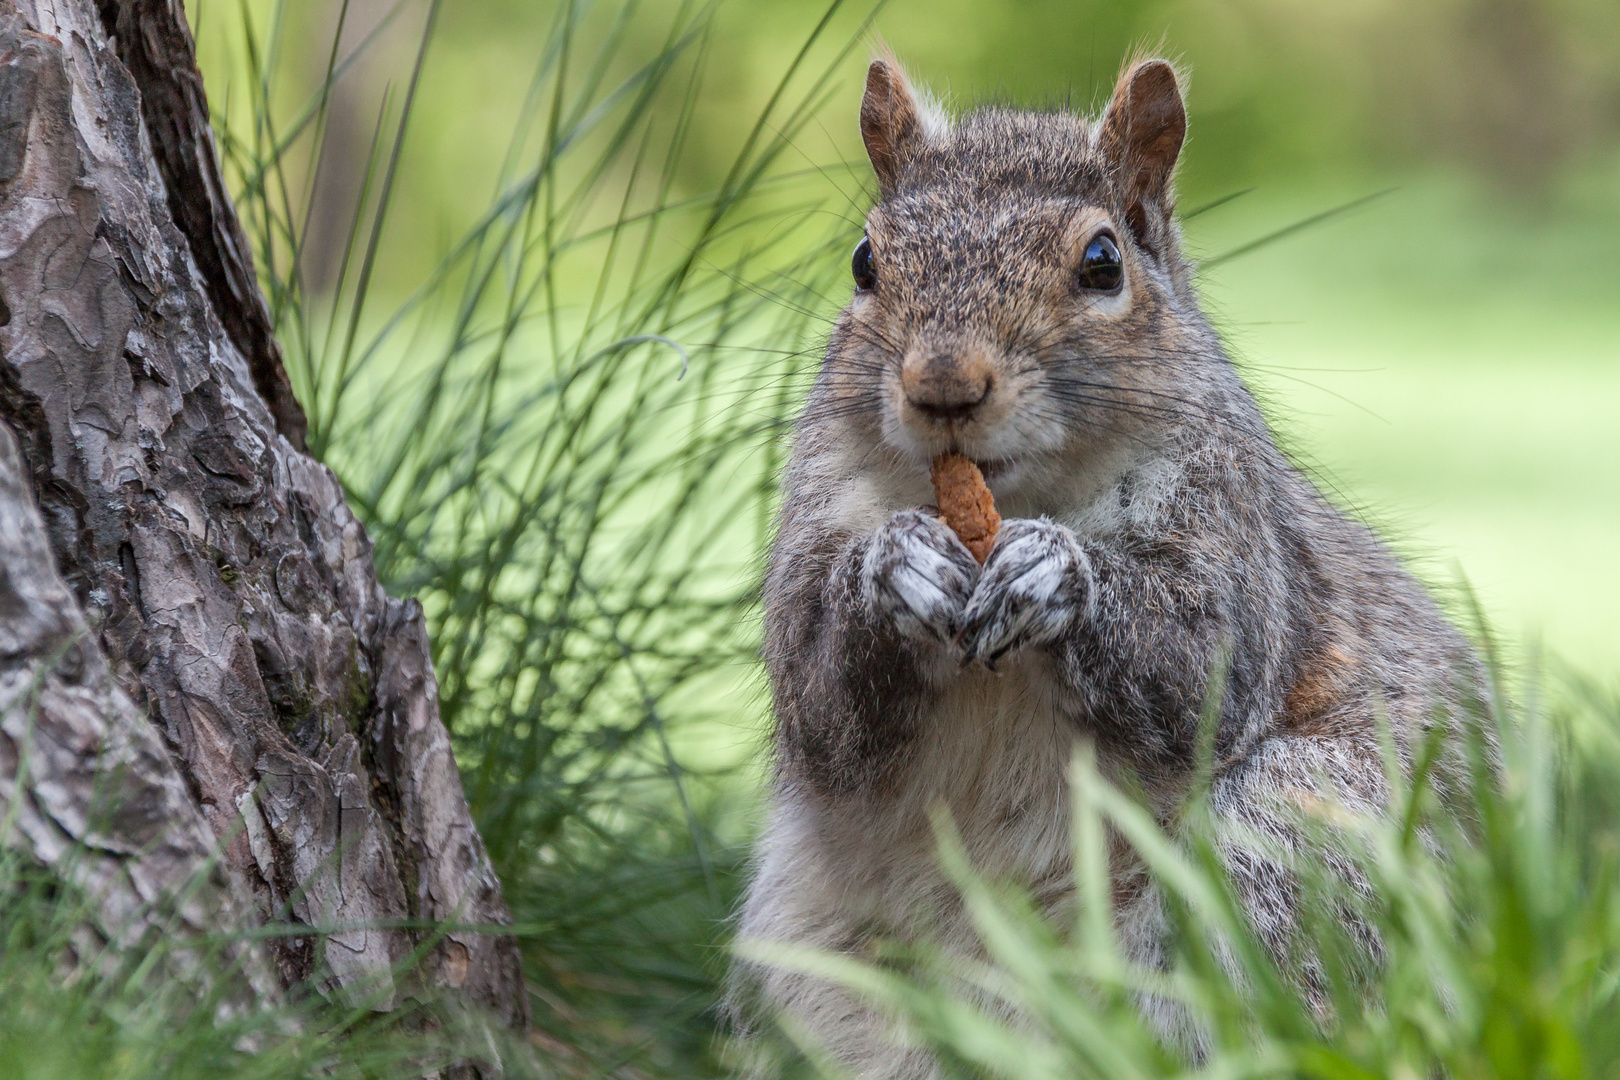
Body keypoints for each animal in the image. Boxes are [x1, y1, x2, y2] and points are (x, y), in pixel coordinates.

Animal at [732, 57, 1483, 1075]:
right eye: (863, 262)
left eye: (1102, 263)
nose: (943, 386)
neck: (1021, 495)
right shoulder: (813, 522)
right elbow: (820, 706)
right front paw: (895, 568)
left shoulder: (1234, 529)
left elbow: (1200, 672)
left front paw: (1057, 577)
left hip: (1298, 835)